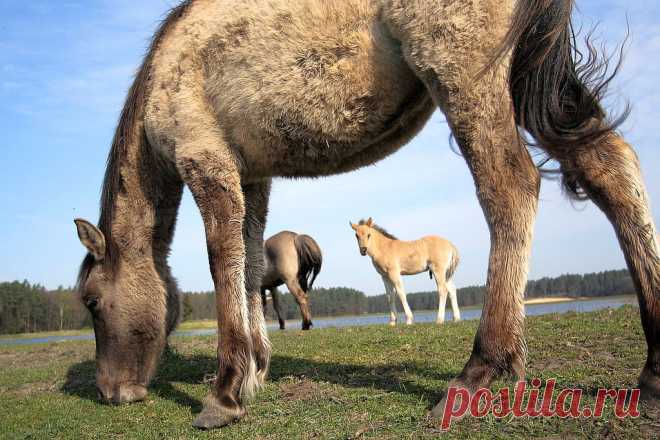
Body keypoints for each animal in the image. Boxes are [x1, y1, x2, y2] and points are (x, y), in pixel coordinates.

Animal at [73, 0, 660, 430]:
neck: (166, 72)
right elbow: (249, 260)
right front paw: (257, 369)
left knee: (511, 187)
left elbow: (223, 261)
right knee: (611, 169)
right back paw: (652, 370)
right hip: (532, 75)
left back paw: (480, 370)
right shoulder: (252, 174)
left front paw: (226, 391)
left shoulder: (206, 161)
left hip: (467, 72)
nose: (111, 392)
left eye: (93, 301)